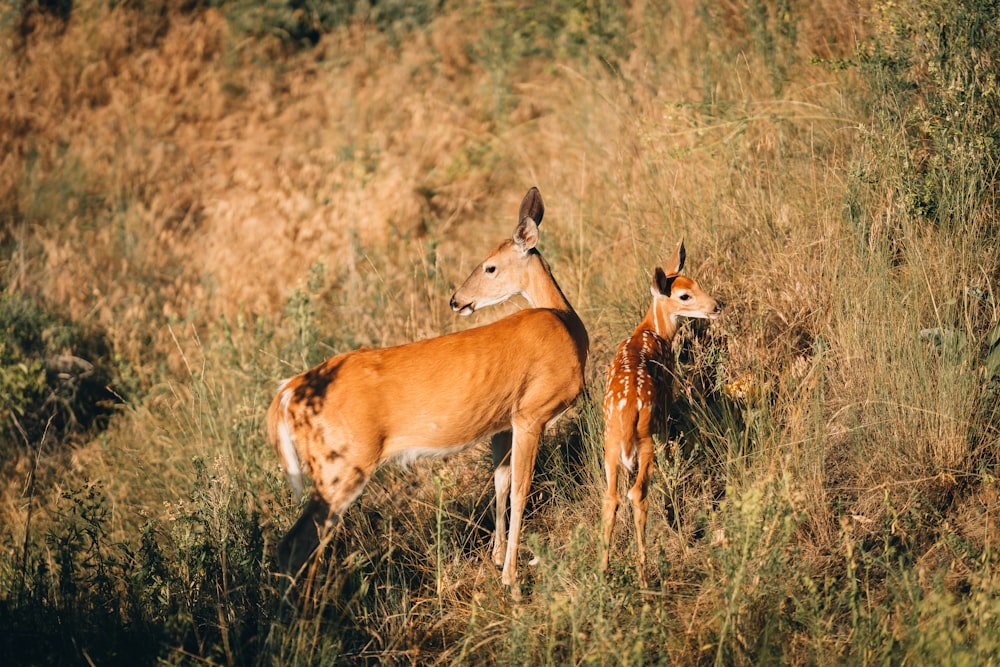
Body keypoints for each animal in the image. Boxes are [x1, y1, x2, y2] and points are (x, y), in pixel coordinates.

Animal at [270, 187, 588, 596]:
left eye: (489, 267)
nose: (456, 299)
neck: (566, 324)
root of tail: (290, 390)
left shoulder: (504, 422)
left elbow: (501, 484)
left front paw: (496, 558)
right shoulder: (532, 412)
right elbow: (521, 490)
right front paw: (512, 582)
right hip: (341, 462)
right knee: (297, 541)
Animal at [600, 243, 720, 588]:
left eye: (696, 283)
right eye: (684, 296)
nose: (716, 306)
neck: (652, 331)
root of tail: (627, 410)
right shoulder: (665, 407)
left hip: (610, 444)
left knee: (611, 497)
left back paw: (603, 570)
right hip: (645, 439)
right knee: (637, 493)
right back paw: (644, 574)